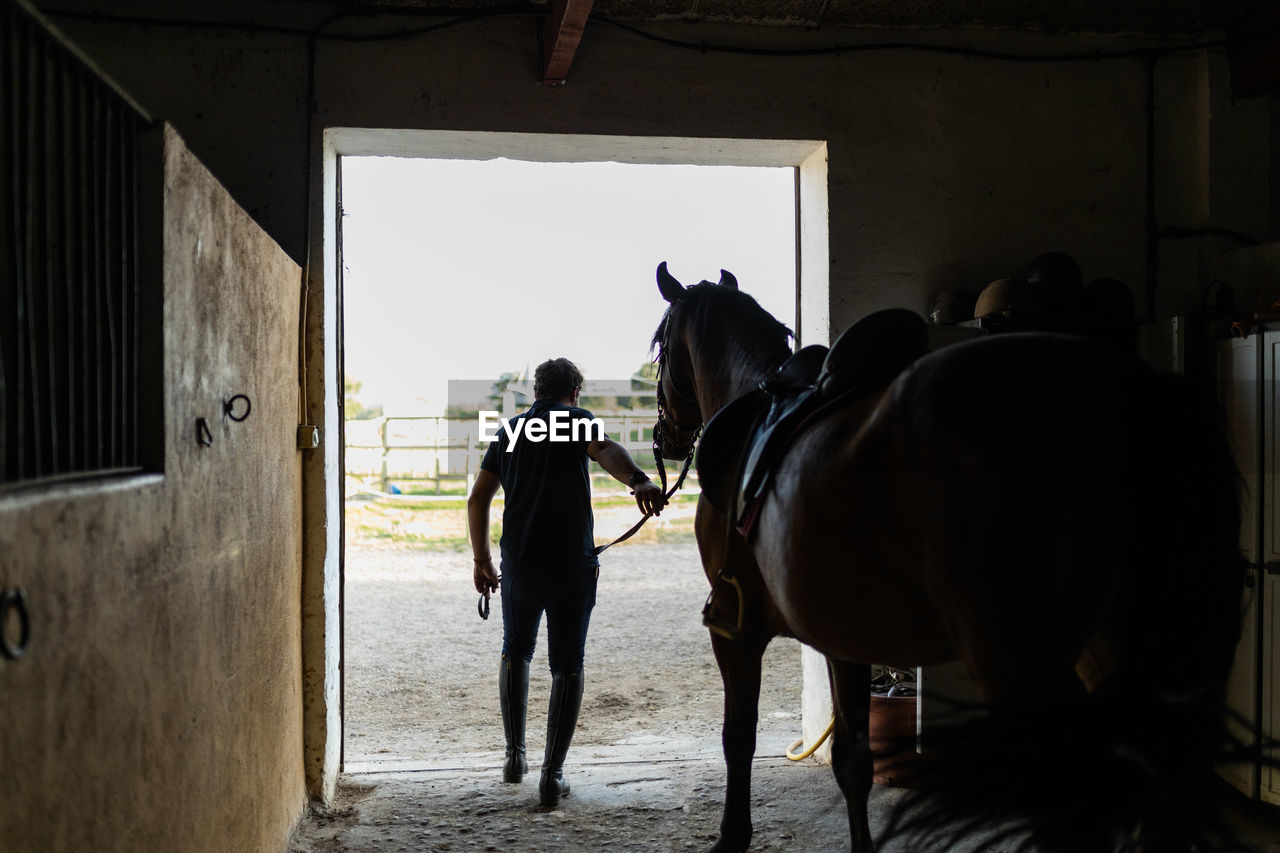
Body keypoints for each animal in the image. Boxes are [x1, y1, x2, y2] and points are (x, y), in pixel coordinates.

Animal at [645, 261, 1244, 850]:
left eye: (659, 346)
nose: (663, 438)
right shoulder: (843, 638)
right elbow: (852, 762)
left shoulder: (735, 630)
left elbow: (738, 738)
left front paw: (731, 838)